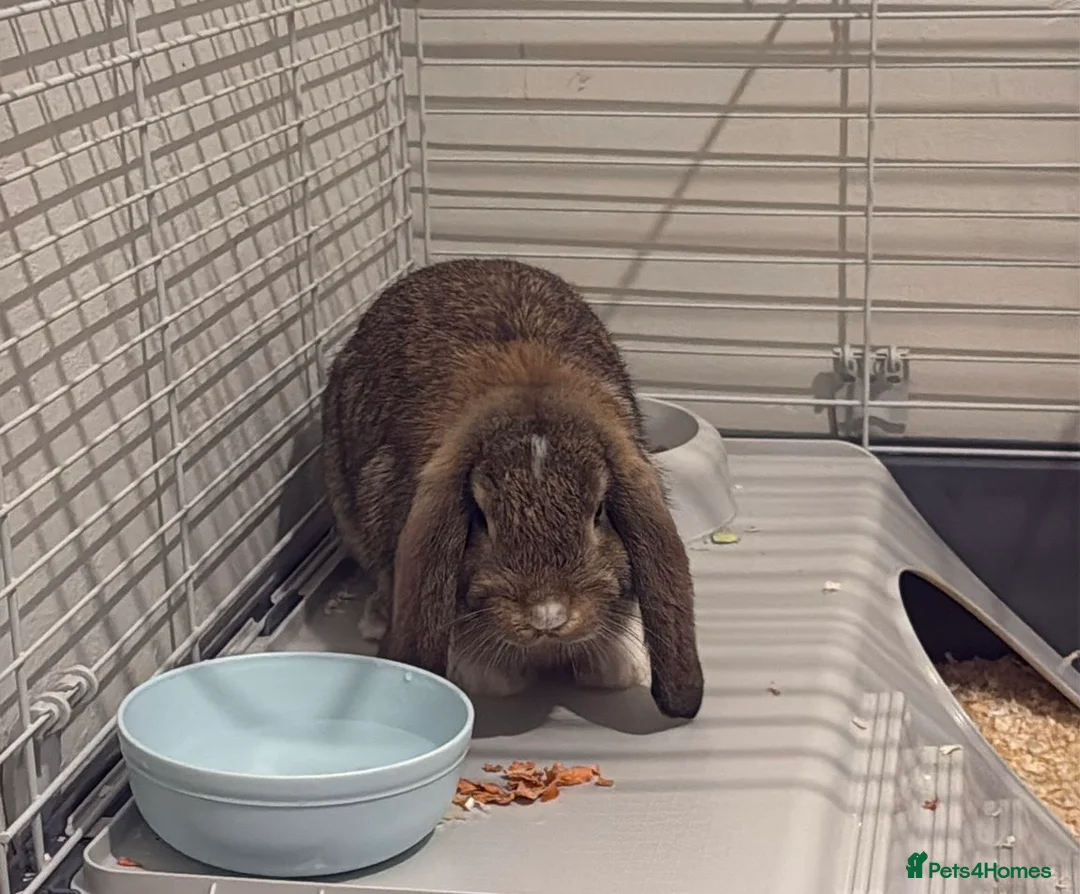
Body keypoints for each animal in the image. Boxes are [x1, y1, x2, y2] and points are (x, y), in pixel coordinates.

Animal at [320, 257, 704, 719]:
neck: (530, 387)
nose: (548, 617)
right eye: (481, 518)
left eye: (599, 512)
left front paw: (617, 668)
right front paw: (490, 677)